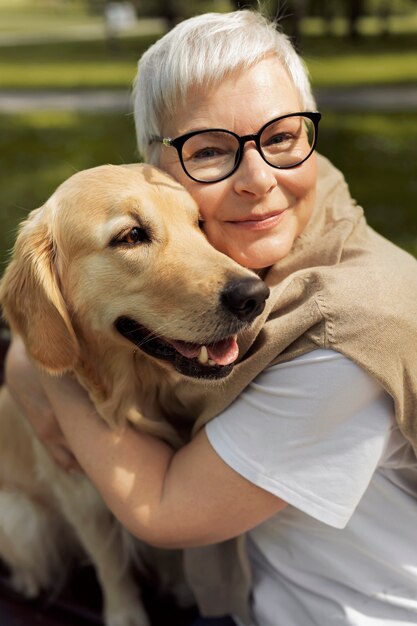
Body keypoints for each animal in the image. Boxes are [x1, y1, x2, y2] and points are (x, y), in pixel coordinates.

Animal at [0, 165, 270, 624]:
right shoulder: (80, 494)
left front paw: (180, 587)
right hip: (19, 520)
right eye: (131, 236)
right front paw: (125, 614)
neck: (137, 395)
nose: (254, 295)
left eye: (199, 224)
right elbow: (111, 564)